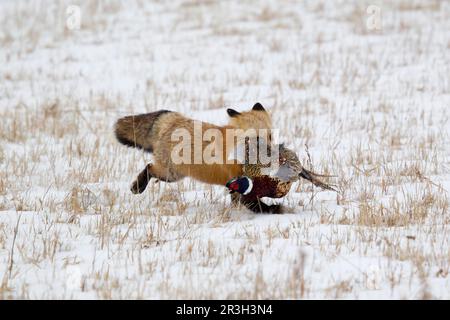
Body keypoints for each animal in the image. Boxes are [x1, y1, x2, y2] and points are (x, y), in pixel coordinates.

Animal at [115, 103, 270, 192]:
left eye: (270, 136)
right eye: (255, 138)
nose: (269, 152)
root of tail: (175, 120)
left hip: (173, 175)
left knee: (150, 168)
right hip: (170, 173)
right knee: (149, 167)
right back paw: (137, 187)